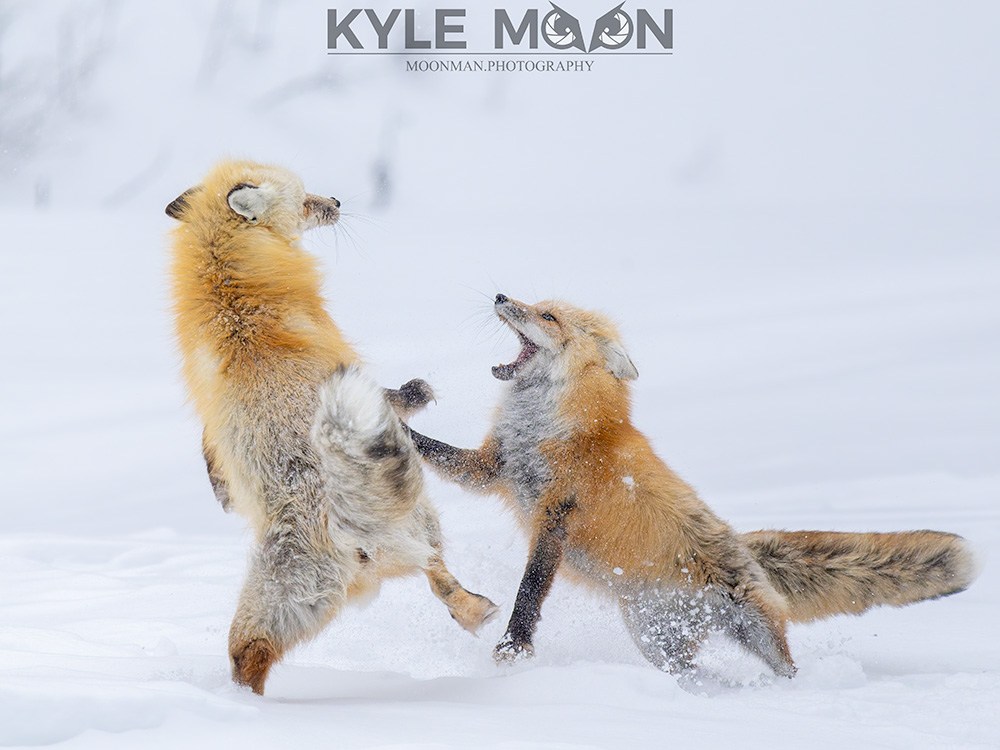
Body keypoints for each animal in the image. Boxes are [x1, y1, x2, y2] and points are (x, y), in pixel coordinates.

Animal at [166, 159, 497, 694]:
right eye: (305, 199)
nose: (338, 202)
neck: (232, 288)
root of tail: (341, 525)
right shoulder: (345, 364)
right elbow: (393, 400)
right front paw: (416, 393)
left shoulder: (208, 412)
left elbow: (209, 453)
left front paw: (221, 494)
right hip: (420, 518)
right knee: (437, 571)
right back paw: (475, 609)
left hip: (273, 606)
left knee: (247, 656)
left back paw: (242, 707)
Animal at [405, 293, 979, 679]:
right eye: (536, 303)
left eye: (548, 317)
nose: (502, 295)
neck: (551, 427)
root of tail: (742, 544)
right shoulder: (490, 469)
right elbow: (429, 448)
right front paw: (394, 418)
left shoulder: (556, 513)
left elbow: (530, 588)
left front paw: (513, 647)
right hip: (656, 640)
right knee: (688, 671)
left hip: (752, 627)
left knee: (785, 665)